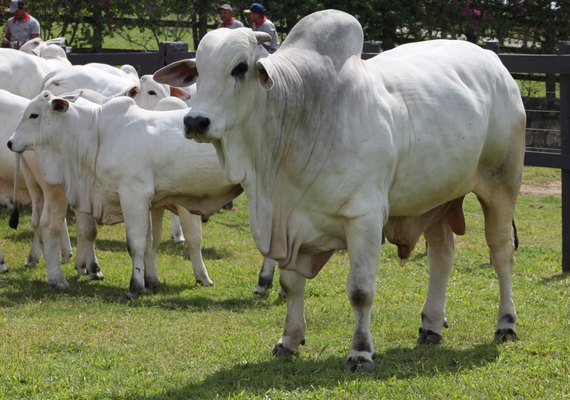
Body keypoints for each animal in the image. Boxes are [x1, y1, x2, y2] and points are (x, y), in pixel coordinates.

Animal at [8, 90, 242, 296]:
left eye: (33, 114)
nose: (10, 142)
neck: (96, 135)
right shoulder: (147, 201)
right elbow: (148, 242)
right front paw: (150, 282)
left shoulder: (135, 195)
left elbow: (138, 243)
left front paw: (136, 286)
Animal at [153, 10, 524, 372]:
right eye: (199, 70)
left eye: (240, 67)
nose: (195, 122)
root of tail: (493, 61)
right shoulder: (289, 222)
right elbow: (291, 285)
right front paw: (289, 340)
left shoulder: (365, 218)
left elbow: (360, 291)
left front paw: (360, 352)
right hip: (435, 197)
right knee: (442, 255)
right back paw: (431, 325)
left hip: (501, 184)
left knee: (501, 252)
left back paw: (506, 323)